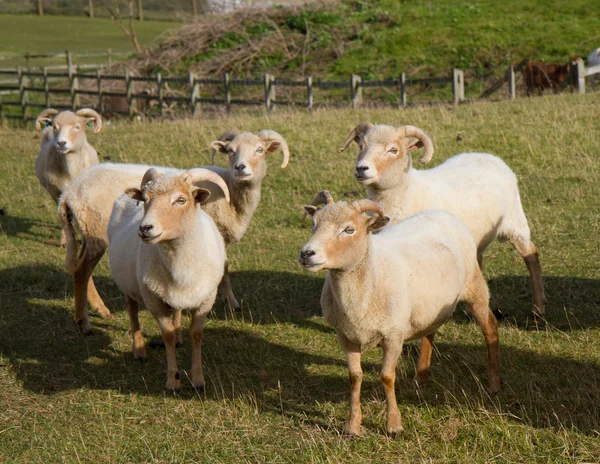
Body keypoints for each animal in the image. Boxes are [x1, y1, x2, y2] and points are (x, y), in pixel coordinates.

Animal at [34, 108, 103, 246]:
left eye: (77, 127)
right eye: (55, 127)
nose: (61, 143)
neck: (70, 171)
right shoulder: (55, 191)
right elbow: (64, 216)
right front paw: (65, 241)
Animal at [57, 129, 292, 336]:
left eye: (259, 149)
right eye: (231, 150)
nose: (240, 168)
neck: (232, 194)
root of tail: (68, 193)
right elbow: (225, 268)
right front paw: (232, 303)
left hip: (88, 233)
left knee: (80, 268)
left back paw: (98, 310)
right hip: (96, 232)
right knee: (82, 271)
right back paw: (85, 321)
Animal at [300, 190, 502, 436]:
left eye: (349, 229)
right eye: (314, 224)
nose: (307, 253)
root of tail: (442, 212)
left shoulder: (393, 336)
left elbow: (387, 377)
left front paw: (394, 425)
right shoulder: (345, 336)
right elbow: (354, 377)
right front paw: (352, 425)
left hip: (474, 287)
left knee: (490, 328)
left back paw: (494, 384)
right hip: (430, 305)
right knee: (430, 332)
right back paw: (421, 377)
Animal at [340, 121, 548, 318]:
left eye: (393, 150)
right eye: (361, 146)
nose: (361, 168)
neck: (408, 192)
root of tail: (489, 156)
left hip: (514, 222)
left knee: (531, 255)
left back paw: (538, 308)